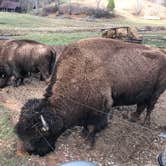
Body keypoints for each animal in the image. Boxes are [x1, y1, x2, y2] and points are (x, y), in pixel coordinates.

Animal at [14, 37, 165, 156]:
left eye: (39, 136)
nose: (29, 151)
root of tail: (162, 54)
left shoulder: (100, 108)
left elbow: (93, 127)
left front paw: (88, 144)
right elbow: (86, 124)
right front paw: (83, 133)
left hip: (156, 93)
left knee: (150, 107)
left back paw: (145, 123)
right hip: (143, 93)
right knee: (141, 106)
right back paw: (133, 119)